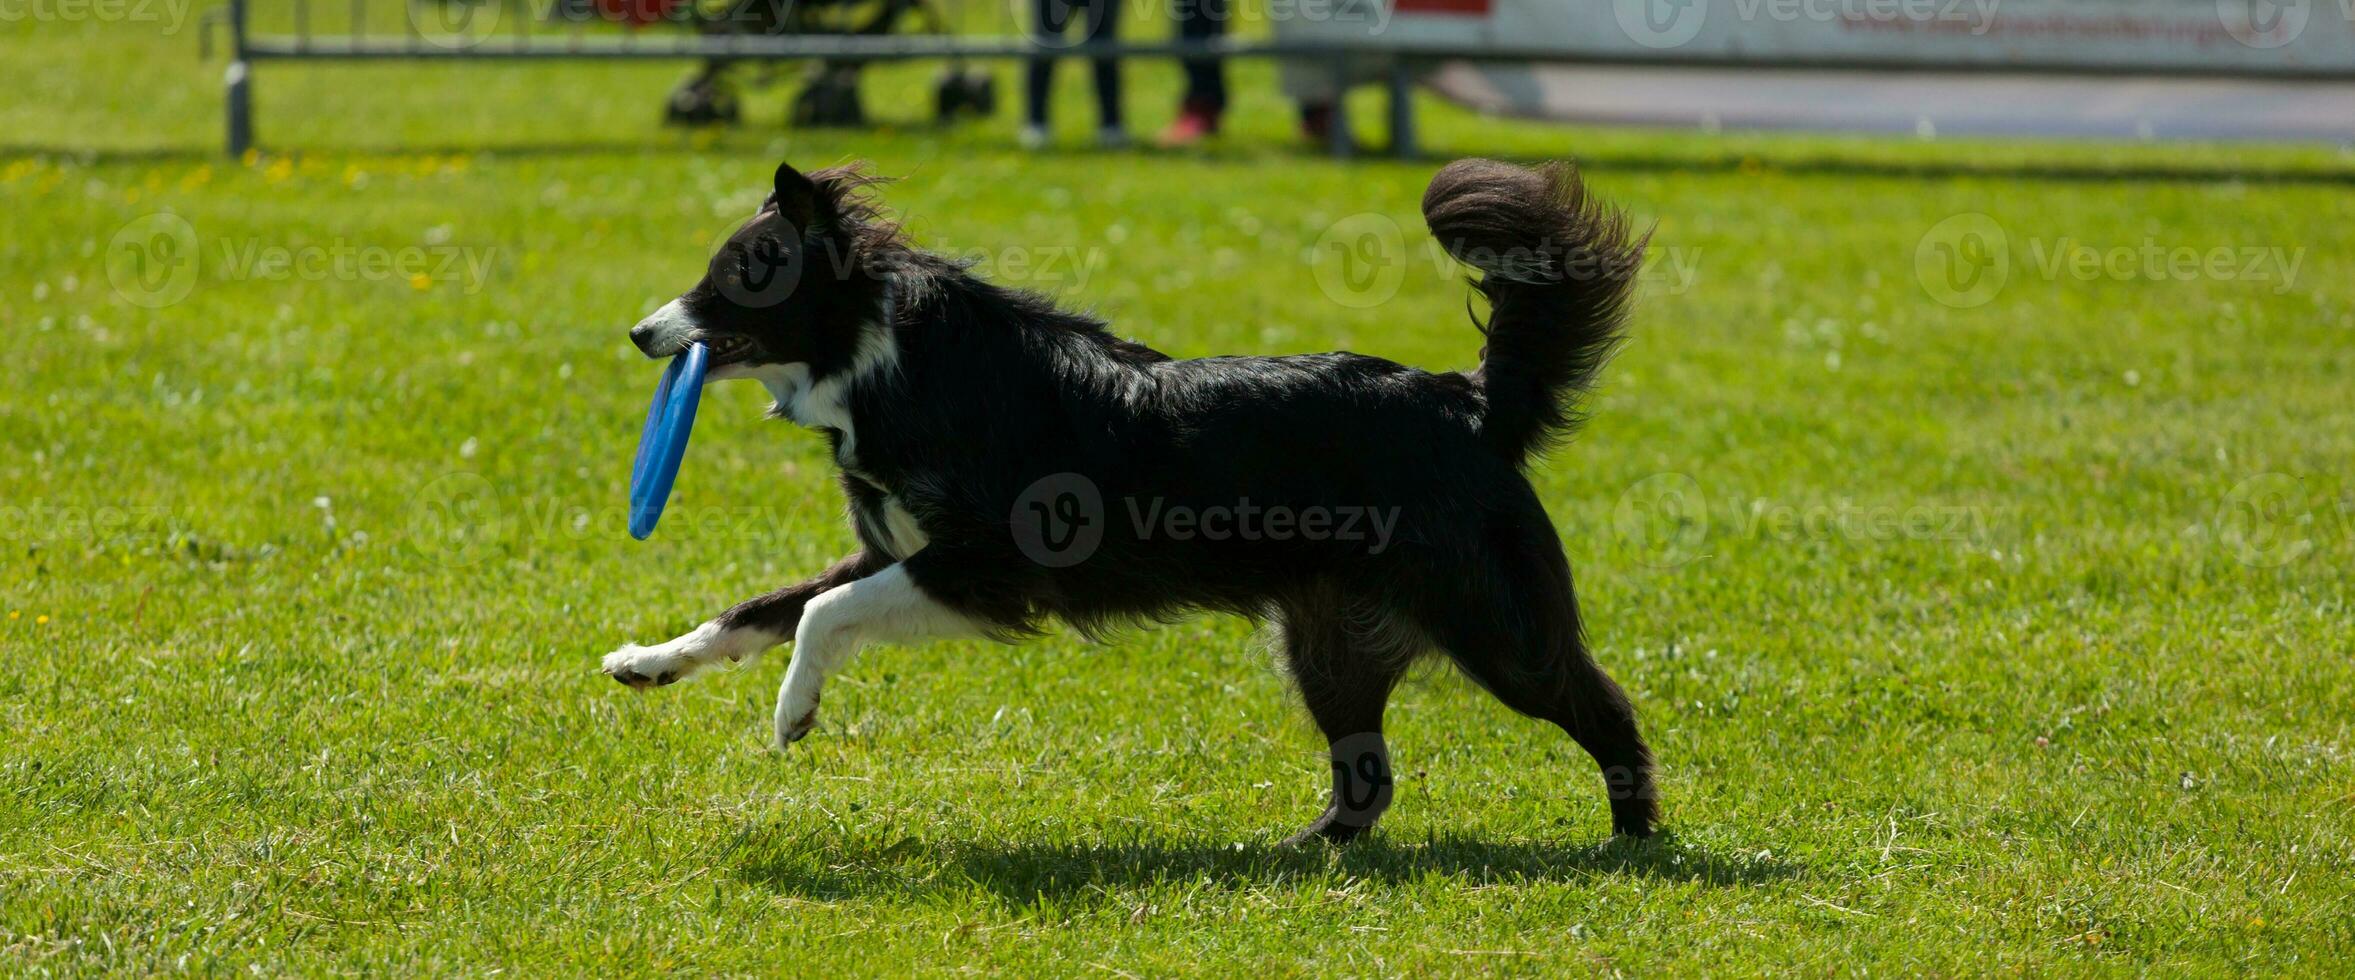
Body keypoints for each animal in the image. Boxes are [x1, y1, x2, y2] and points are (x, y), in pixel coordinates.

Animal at [607, 155, 1657, 843]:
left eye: (740, 276)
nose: (640, 333)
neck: (882, 353)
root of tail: (1465, 401)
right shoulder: (892, 550)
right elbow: (762, 607)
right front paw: (650, 660)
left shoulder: (987, 568)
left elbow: (820, 613)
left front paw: (793, 712)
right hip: (1329, 642)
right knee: (1368, 775)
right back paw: (1306, 851)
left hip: (1491, 625)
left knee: (1601, 705)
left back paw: (1633, 837)